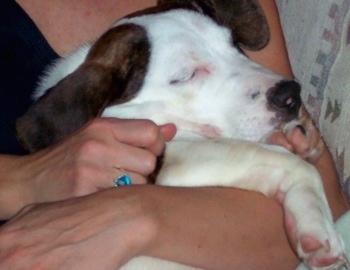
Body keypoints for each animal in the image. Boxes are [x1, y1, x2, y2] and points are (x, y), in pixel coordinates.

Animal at [15, 0, 348, 270]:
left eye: (234, 44)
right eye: (186, 75)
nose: (291, 95)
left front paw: (301, 140)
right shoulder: (169, 155)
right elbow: (277, 159)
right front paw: (317, 225)